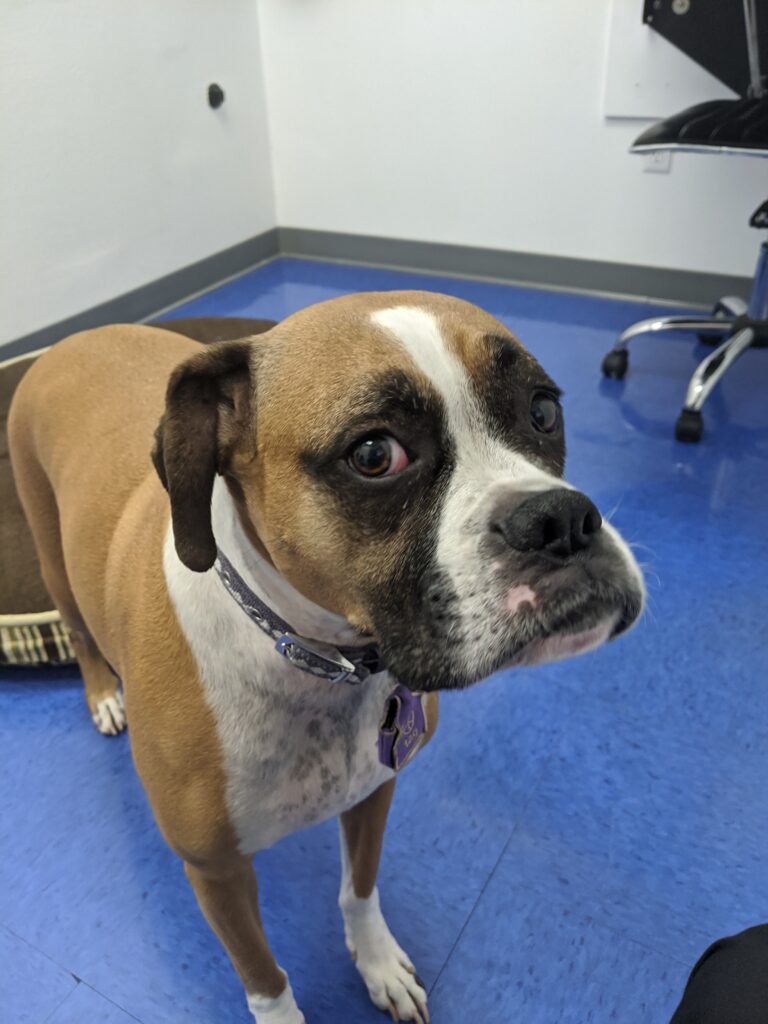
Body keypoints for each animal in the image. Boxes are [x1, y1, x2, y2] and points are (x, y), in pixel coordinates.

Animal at [7, 290, 643, 1024]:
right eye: (374, 454)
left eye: (542, 410)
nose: (559, 518)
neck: (320, 660)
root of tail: (73, 338)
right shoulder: (217, 873)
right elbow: (265, 976)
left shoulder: (373, 792)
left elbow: (359, 891)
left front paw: (377, 964)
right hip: (52, 559)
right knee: (79, 632)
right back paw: (103, 696)